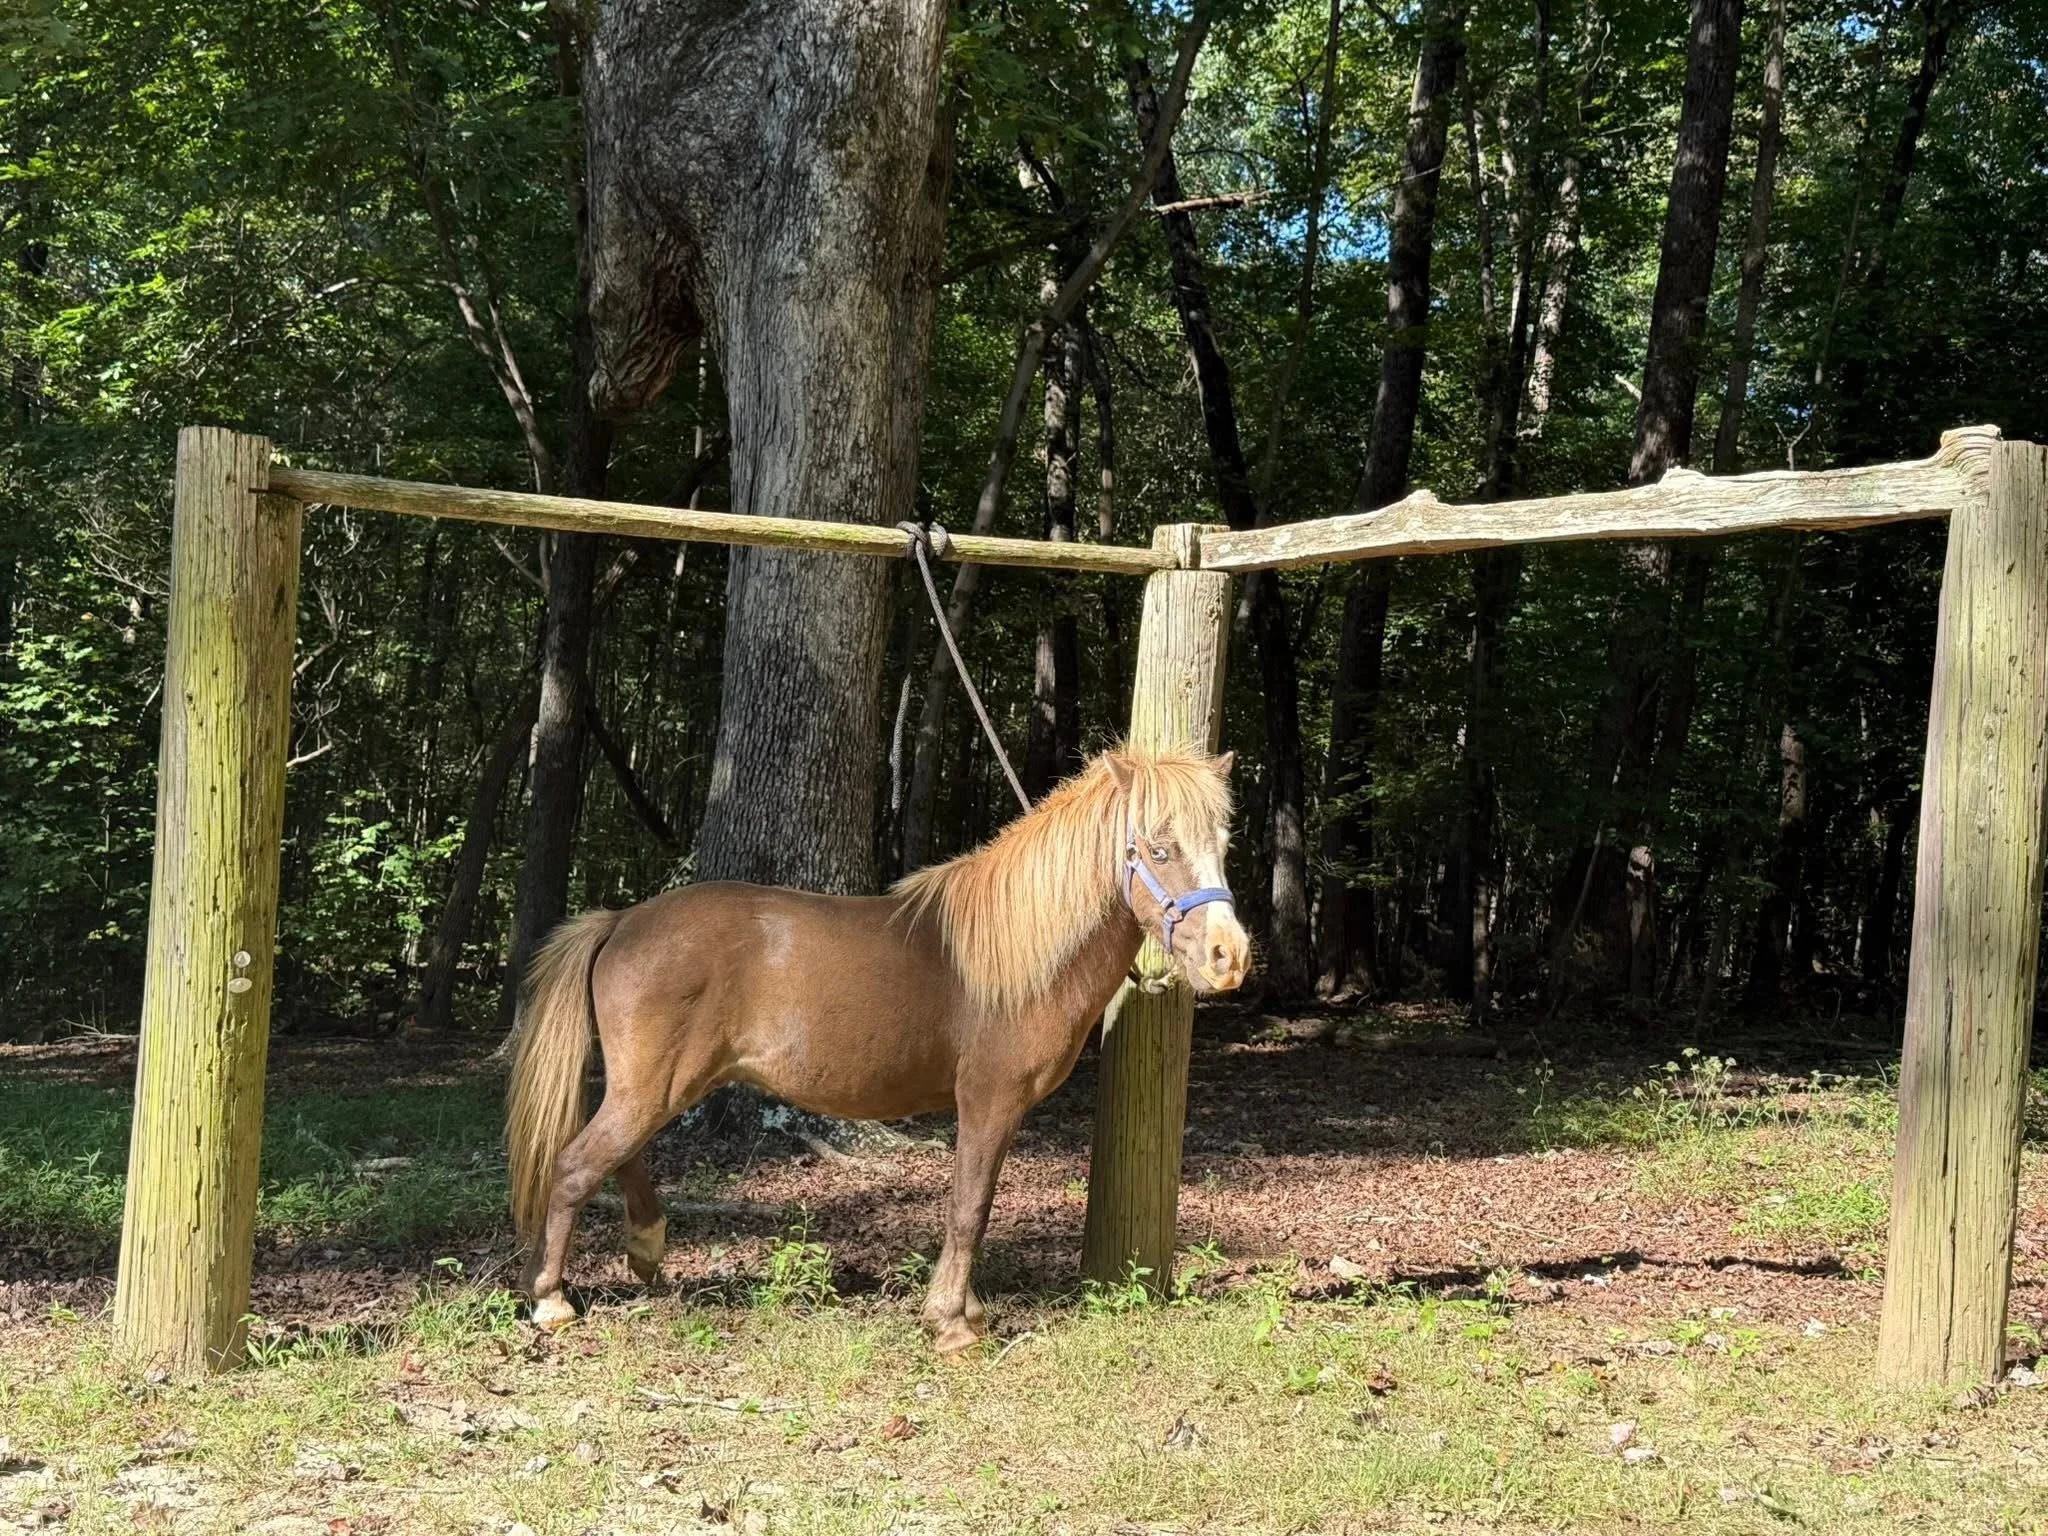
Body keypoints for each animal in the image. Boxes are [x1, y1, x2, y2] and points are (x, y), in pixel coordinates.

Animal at [505, 743, 1250, 1353]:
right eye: (1159, 849)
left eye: (1222, 844)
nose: (1230, 955)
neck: (1016, 952)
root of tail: (621, 920)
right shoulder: (989, 1101)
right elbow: (969, 1207)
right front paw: (951, 1323)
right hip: (652, 1088)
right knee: (577, 1164)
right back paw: (551, 1299)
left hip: (654, 1086)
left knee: (616, 1154)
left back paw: (647, 1247)